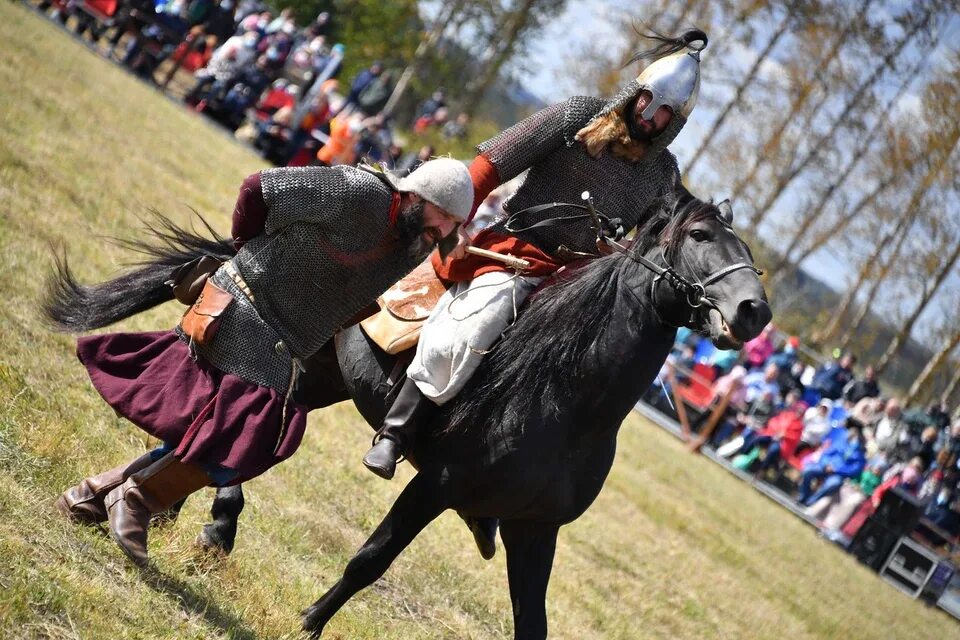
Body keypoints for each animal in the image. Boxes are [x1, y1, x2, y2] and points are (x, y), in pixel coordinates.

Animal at [45, 198, 768, 636]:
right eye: (700, 236)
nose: (753, 311)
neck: (564, 393)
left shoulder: (535, 529)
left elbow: (530, 622)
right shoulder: (437, 485)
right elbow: (370, 561)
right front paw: (308, 623)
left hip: (324, 379)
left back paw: (121, 502)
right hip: (298, 361)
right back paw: (186, 518)